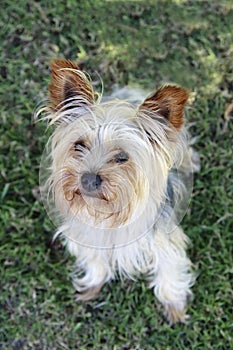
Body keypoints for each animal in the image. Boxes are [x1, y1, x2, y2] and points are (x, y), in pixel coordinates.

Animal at [38, 58, 198, 324]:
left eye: (122, 157)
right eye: (79, 145)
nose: (88, 179)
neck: (108, 213)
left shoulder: (164, 240)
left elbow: (170, 270)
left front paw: (174, 307)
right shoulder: (88, 236)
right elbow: (96, 262)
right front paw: (91, 286)